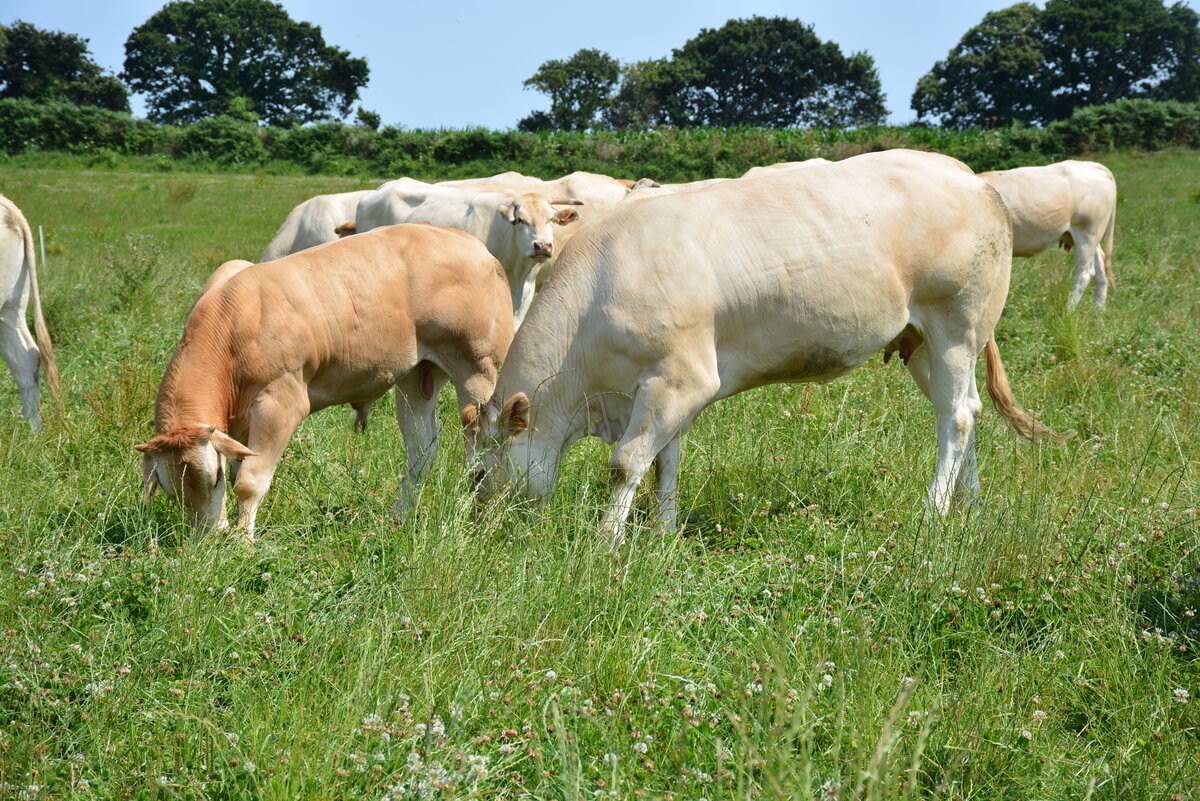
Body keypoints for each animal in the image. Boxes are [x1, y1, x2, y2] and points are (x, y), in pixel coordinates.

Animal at [136, 221, 511, 541]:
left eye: (212, 478)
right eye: (170, 489)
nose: (207, 538)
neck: (229, 328)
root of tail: (463, 238)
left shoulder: (280, 406)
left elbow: (249, 482)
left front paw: (243, 543)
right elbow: (239, 469)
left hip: (478, 369)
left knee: (483, 444)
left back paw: (475, 512)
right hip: (418, 376)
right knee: (422, 449)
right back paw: (401, 516)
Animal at [468, 148, 1070, 551]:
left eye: (477, 476)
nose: (480, 529)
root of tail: (962, 171)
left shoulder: (679, 379)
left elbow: (627, 463)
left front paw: (606, 544)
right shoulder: (667, 391)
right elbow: (667, 462)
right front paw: (662, 533)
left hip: (956, 323)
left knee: (957, 417)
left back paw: (933, 511)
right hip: (919, 338)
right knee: (965, 409)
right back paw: (969, 505)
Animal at [974, 158, 1113, 306]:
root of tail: (1092, 165)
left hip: (1087, 233)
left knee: (1084, 273)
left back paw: (1069, 308)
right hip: (1092, 235)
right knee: (1101, 268)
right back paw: (1098, 308)